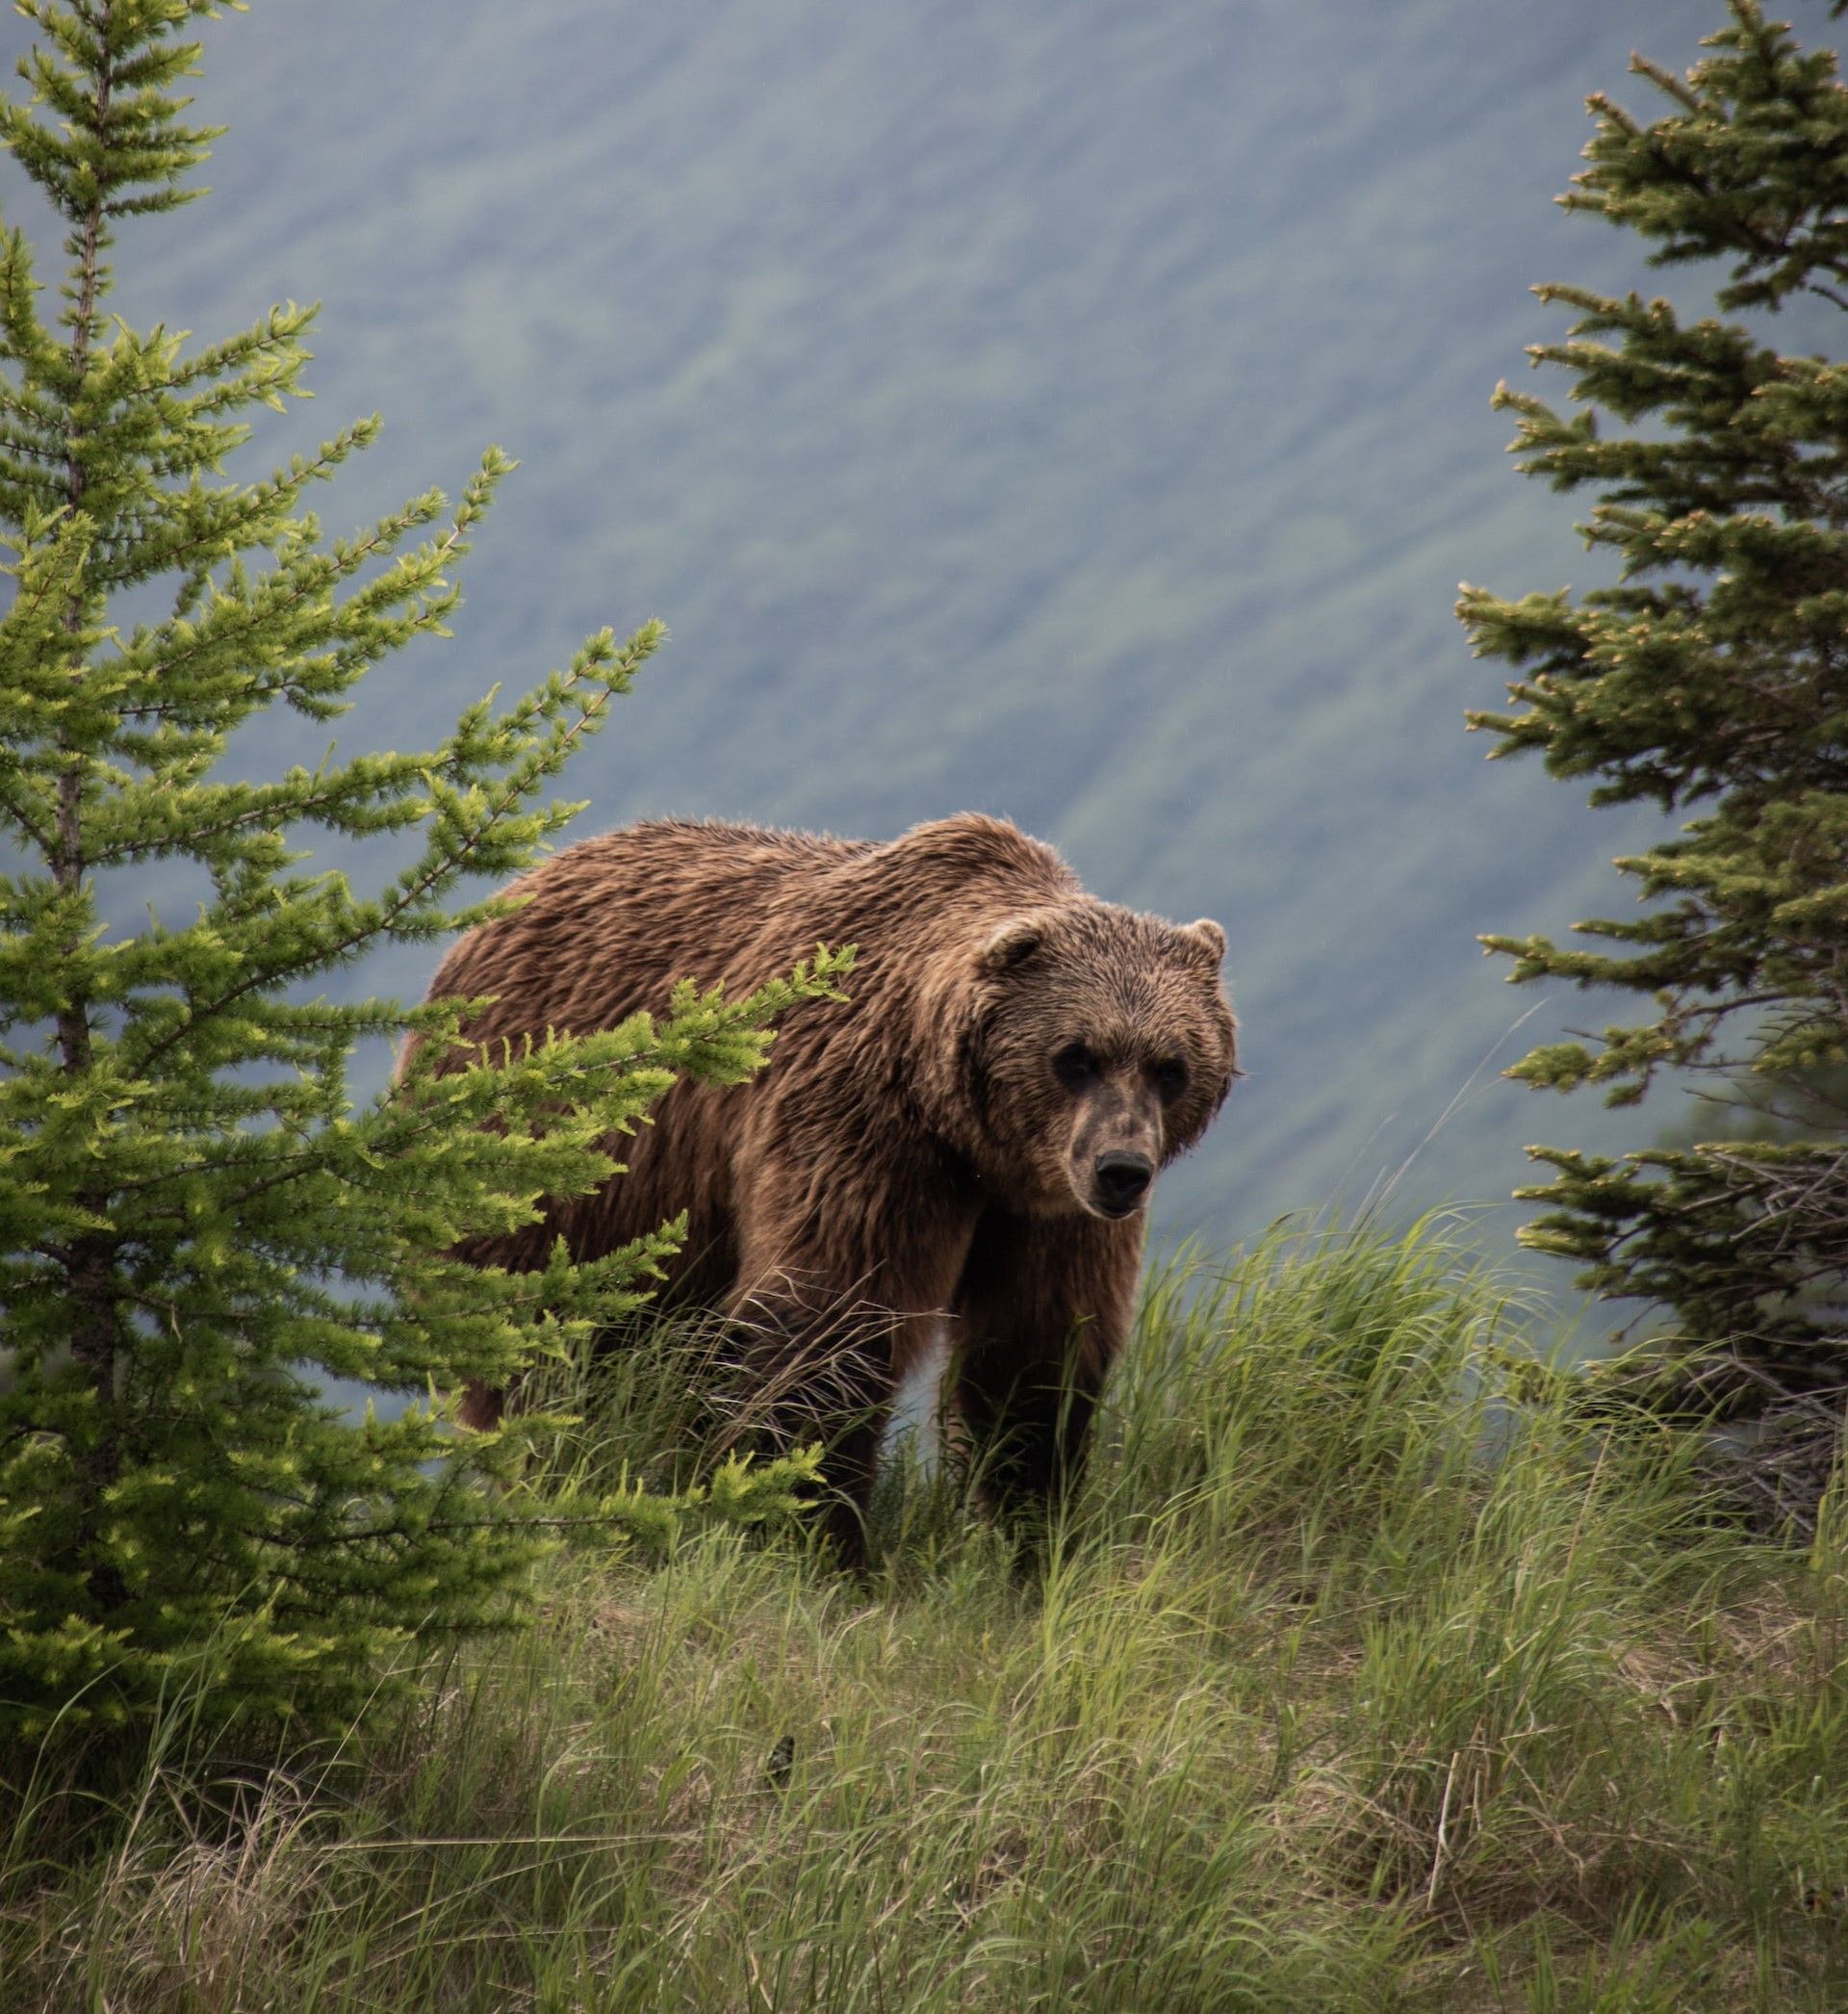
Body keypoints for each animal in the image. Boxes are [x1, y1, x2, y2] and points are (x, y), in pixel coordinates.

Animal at [412, 813, 1240, 1555]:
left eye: (1171, 1065)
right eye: (1075, 1055)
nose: (1122, 1170)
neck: (966, 1133)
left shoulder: (1045, 1209)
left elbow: (1034, 1355)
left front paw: (1027, 1536)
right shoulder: (862, 1127)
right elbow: (828, 1323)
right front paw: (814, 1538)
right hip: (556, 1170)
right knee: (549, 1350)